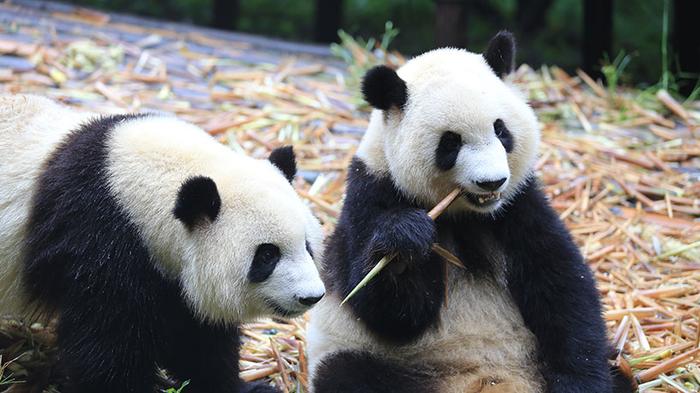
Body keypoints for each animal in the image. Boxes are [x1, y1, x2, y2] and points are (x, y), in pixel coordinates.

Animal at [0, 94, 326, 392]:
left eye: (307, 246)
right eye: (267, 255)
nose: (311, 297)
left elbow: (198, 339)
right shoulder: (98, 239)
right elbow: (106, 344)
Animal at [308, 31, 632, 392]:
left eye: (501, 130)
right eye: (450, 143)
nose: (492, 182)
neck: (463, 214)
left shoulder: (518, 205)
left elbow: (560, 284)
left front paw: (579, 380)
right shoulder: (371, 194)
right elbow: (388, 311)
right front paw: (404, 243)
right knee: (348, 373)